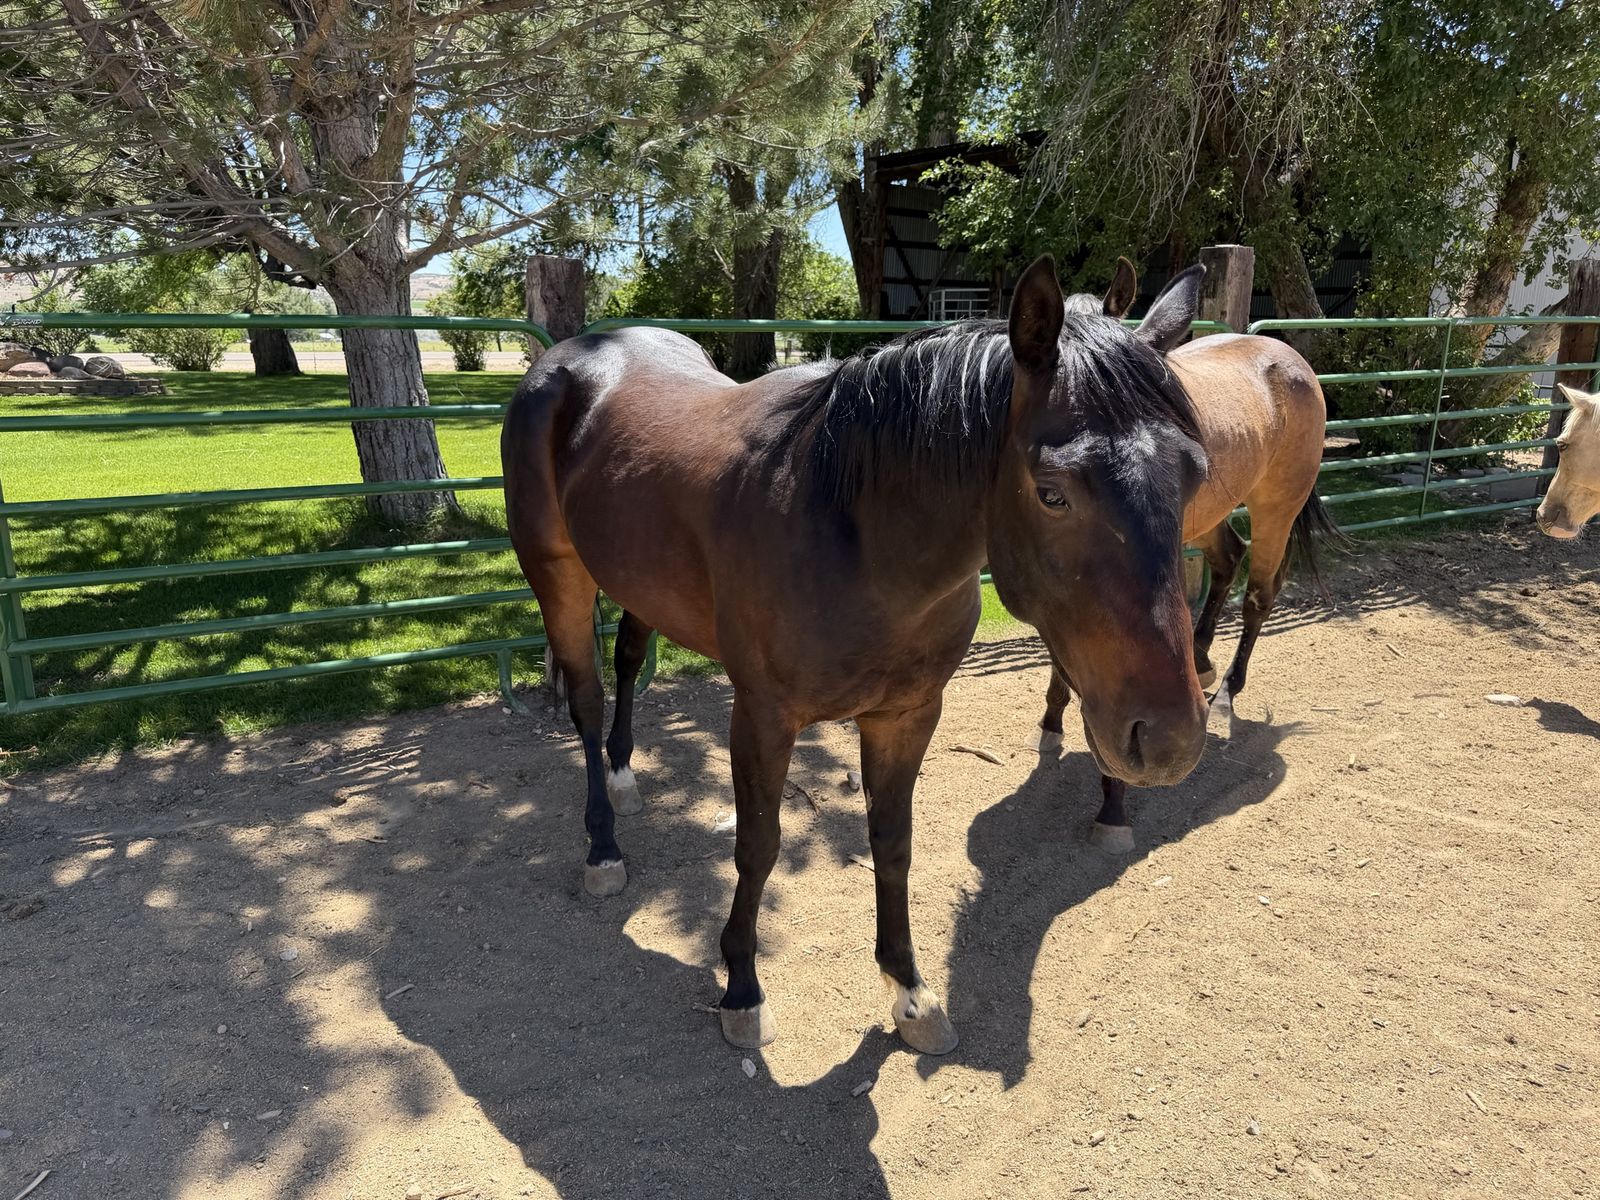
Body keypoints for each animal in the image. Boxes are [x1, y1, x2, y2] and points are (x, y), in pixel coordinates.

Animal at [501, 256, 1211, 1054]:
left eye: (1195, 473)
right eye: (1052, 493)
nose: (1170, 738)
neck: (852, 531)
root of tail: (569, 359)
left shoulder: (906, 716)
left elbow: (892, 842)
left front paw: (911, 992)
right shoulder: (763, 718)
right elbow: (759, 846)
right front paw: (741, 989)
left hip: (637, 578)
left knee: (627, 658)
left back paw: (625, 778)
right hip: (558, 574)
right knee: (587, 701)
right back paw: (603, 846)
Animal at [1037, 261, 1341, 852]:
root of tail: (1290, 358)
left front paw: (1114, 797)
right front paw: (1054, 717)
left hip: (1277, 506)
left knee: (1259, 594)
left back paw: (1224, 695)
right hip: (1216, 514)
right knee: (1228, 561)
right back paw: (1200, 660)